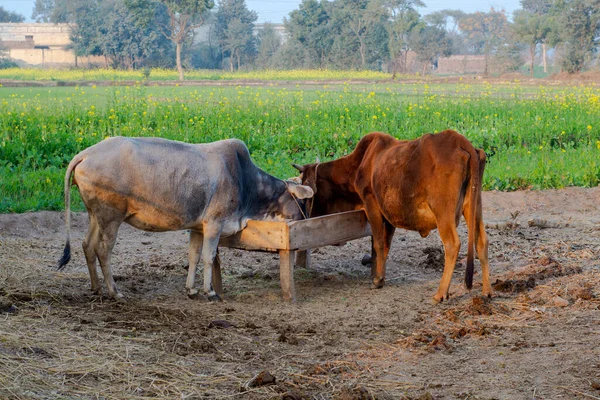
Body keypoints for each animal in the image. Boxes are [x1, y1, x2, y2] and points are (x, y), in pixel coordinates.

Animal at [56, 137, 314, 300]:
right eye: (301, 202)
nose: (302, 218)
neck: (246, 183)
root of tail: (85, 154)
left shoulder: (197, 228)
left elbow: (193, 257)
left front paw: (191, 290)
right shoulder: (214, 223)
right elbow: (208, 257)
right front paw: (210, 292)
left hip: (95, 215)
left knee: (87, 245)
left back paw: (96, 288)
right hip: (111, 217)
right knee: (103, 250)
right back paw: (114, 291)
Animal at [296, 130, 492, 302]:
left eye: (306, 187)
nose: (307, 216)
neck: (360, 164)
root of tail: (461, 142)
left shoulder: (372, 205)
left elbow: (378, 243)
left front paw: (377, 280)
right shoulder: (389, 216)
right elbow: (385, 246)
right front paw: (380, 275)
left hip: (443, 212)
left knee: (452, 244)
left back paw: (440, 294)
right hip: (474, 206)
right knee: (481, 241)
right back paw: (487, 291)